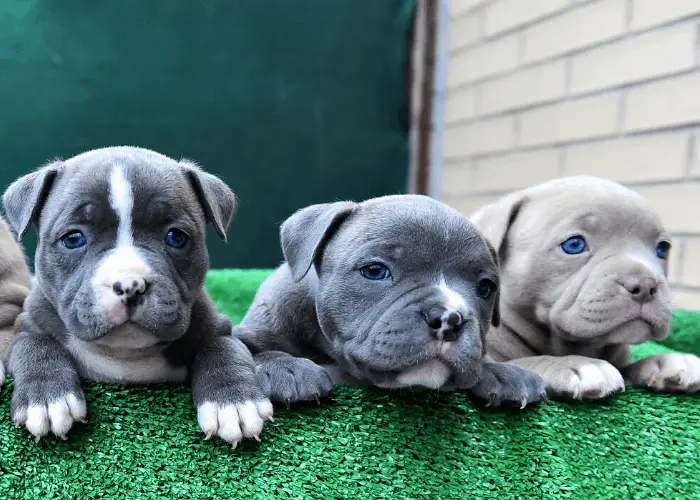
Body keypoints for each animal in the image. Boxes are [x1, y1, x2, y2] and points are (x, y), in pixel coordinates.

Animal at [1, 146, 272, 444]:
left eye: (176, 237)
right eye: (73, 239)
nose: (130, 284)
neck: (125, 352)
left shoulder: (217, 327)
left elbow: (223, 349)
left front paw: (234, 403)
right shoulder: (28, 326)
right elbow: (37, 347)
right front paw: (48, 399)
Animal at [234, 193, 548, 408]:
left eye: (485, 287)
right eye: (375, 271)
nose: (449, 318)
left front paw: (503, 372)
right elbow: (249, 349)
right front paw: (287, 368)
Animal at [470, 175, 700, 398]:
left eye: (663, 249)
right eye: (574, 245)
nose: (645, 286)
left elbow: (629, 367)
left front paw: (668, 361)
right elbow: (517, 364)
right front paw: (574, 365)